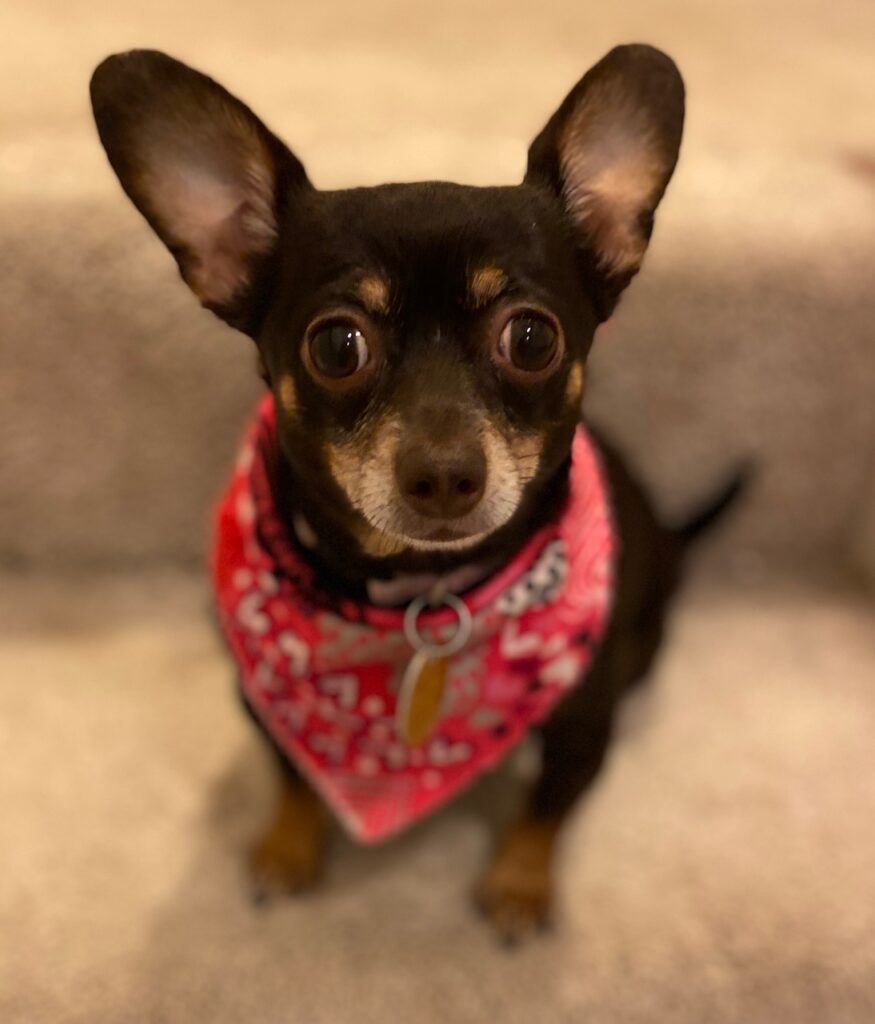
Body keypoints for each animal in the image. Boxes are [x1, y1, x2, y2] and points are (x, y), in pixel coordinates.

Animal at [90, 46, 745, 942]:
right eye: (336, 347)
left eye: (532, 338)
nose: (443, 474)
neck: (415, 593)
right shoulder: (263, 703)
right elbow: (291, 777)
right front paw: (287, 849)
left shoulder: (583, 726)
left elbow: (546, 810)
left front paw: (518, 885)